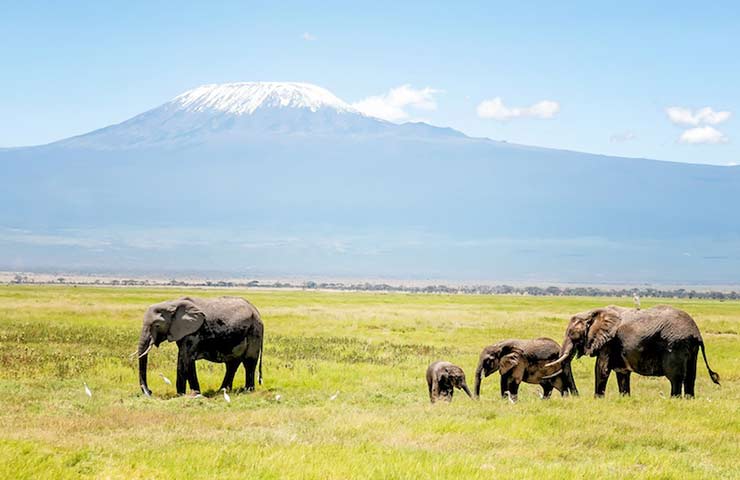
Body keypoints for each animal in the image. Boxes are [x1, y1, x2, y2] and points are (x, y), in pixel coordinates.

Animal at [548, 308, 720, 398]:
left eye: (572, 334)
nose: (575, 396)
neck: (593, 313)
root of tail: (696, 333)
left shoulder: (608, 342)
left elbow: (601, 369)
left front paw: (597, 399)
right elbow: (622, 373)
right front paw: (624, 398)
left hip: (675, 345)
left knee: (676, 378)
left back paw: (674, 400)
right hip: (691, 349)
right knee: (691, 377)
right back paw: (688, 400)